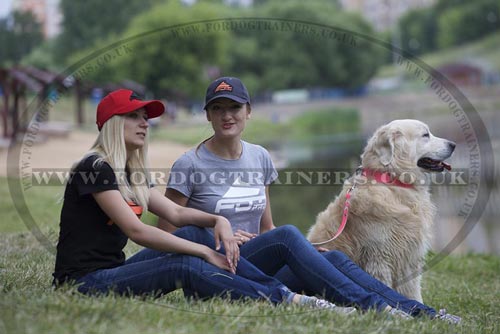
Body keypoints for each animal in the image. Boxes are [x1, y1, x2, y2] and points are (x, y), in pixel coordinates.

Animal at [306, 118, 456, 302]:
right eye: (425, 135)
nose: (453, 144)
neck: (392, 183)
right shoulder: (380, 259)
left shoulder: (409, 258)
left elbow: (412, 290)